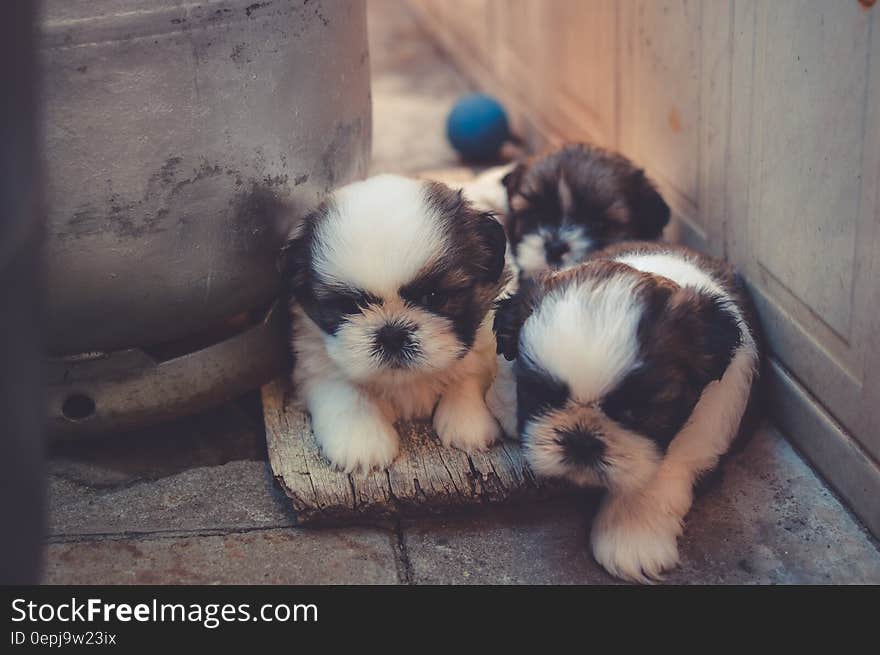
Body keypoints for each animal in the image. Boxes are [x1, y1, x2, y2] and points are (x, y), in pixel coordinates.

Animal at [282, 174, 508, 472]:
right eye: (350, 307)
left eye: (433, 297)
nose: (392, 335)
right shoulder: (315, 364)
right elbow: (345, 393)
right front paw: (361, 439)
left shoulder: (483, 346)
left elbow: (466, 375)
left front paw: (467, 422)